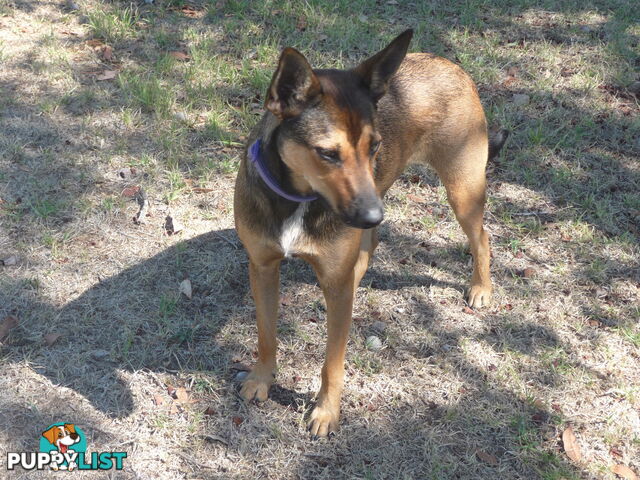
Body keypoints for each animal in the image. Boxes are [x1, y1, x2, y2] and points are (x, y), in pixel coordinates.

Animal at [232, 28, 508, 436]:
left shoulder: (335, 283)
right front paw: (261, 379)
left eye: (374, 144)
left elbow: (332, 363)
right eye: (327, 153)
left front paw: (326, 412)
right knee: (370, 245)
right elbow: (266, 334)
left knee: (481, 238)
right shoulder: (263, 267)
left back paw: (481, 288)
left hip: (462, 190)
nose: (373, 214)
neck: (298, 198)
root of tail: (449, 64)